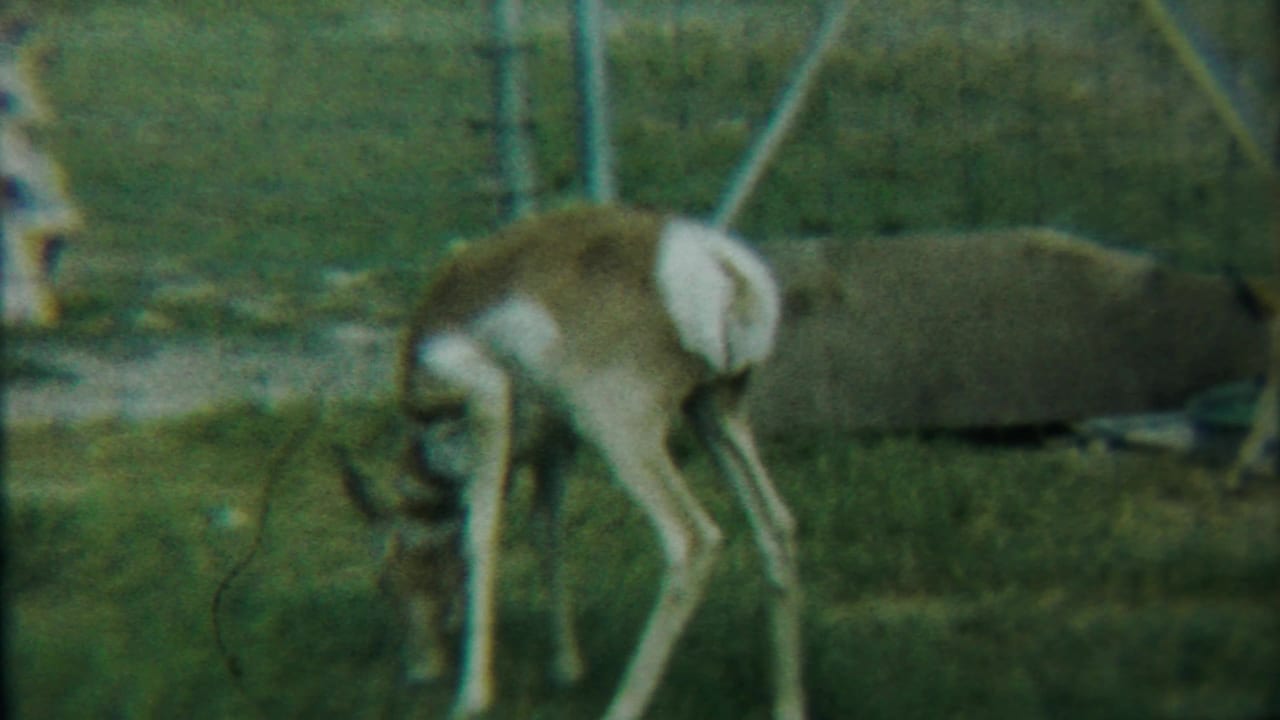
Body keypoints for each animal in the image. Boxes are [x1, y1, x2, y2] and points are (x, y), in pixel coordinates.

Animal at [339, 204, 804, 720]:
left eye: (383, 581)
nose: (418, 673)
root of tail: (718, 263)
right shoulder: (554, 443)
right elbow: (548, 532)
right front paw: (566, 668)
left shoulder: (488, 400)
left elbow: (481, 535)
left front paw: (472, 696)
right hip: (716, 413)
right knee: (776, 525)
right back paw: (788, 704)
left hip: (623, 433)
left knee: (692, 539)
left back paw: (622, 705)